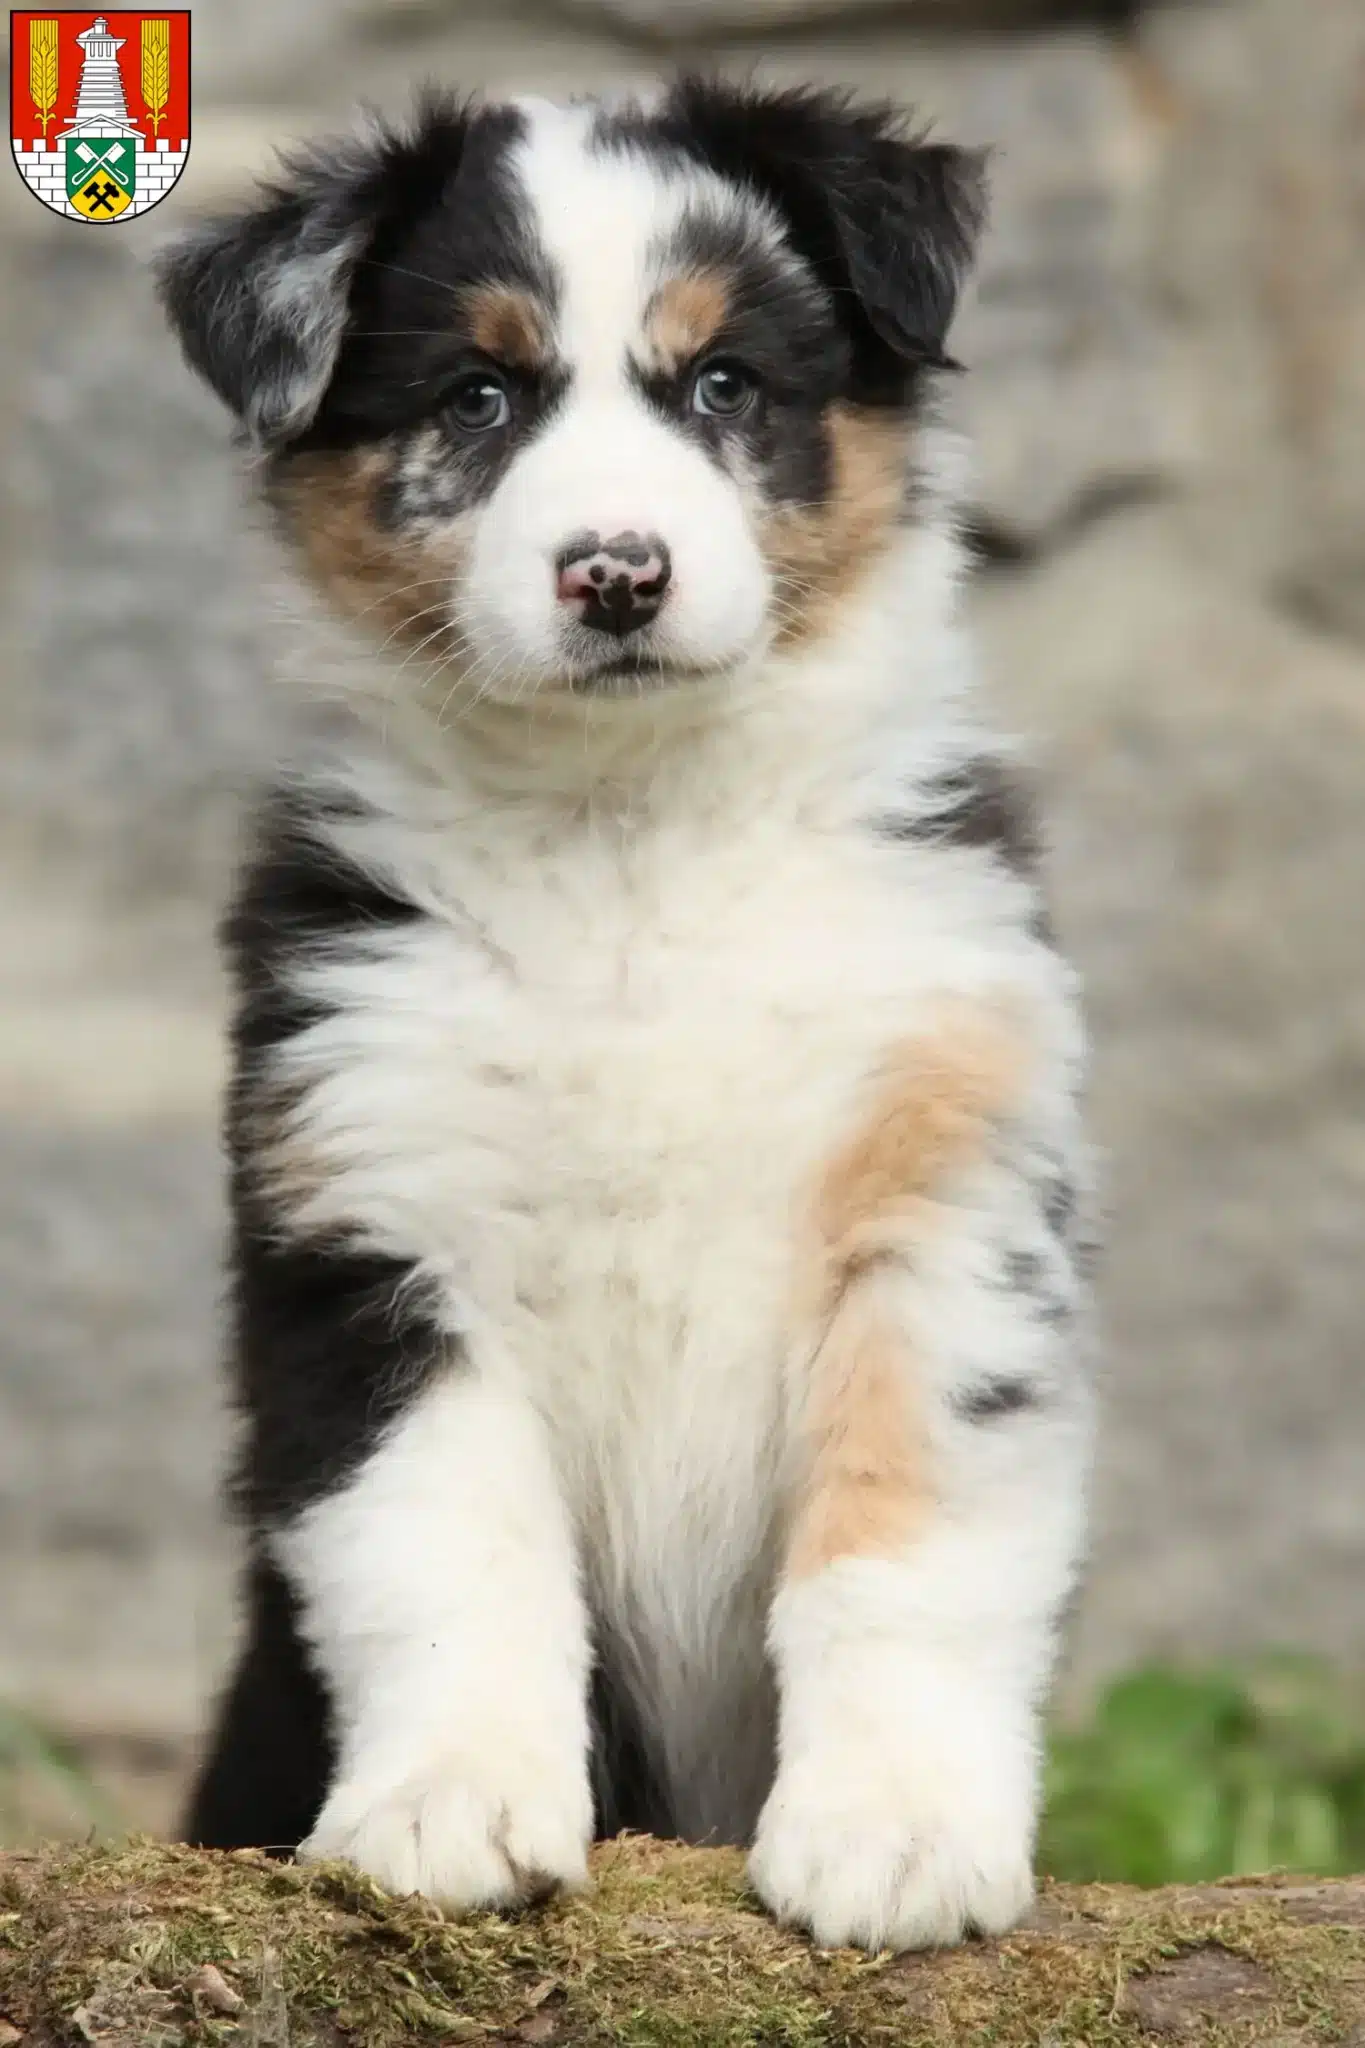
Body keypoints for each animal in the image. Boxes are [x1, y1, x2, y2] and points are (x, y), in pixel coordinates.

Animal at [160, 75, 1096, 1949]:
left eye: (722, 382)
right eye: (479, 396)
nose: (614, 573)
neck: (631, 830)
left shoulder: (945, 1200)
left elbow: (904, 1546)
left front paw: (894, 1833)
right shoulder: (371, 1222)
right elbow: (449, 1547)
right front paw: (446, 1810)